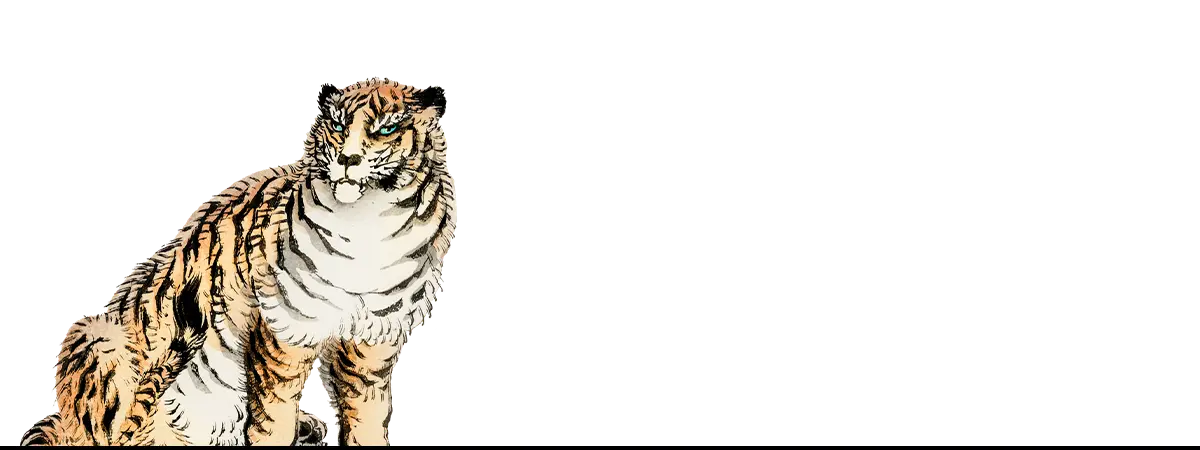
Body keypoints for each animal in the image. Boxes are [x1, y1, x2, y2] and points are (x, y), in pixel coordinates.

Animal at [18, 78, 456, 446]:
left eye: (384, 129)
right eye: (337, 124)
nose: (347, 159)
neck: (370, 227)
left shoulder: (371, 346)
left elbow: (368, 418)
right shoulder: (282, 334)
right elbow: (274, 419)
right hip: (98, 336)